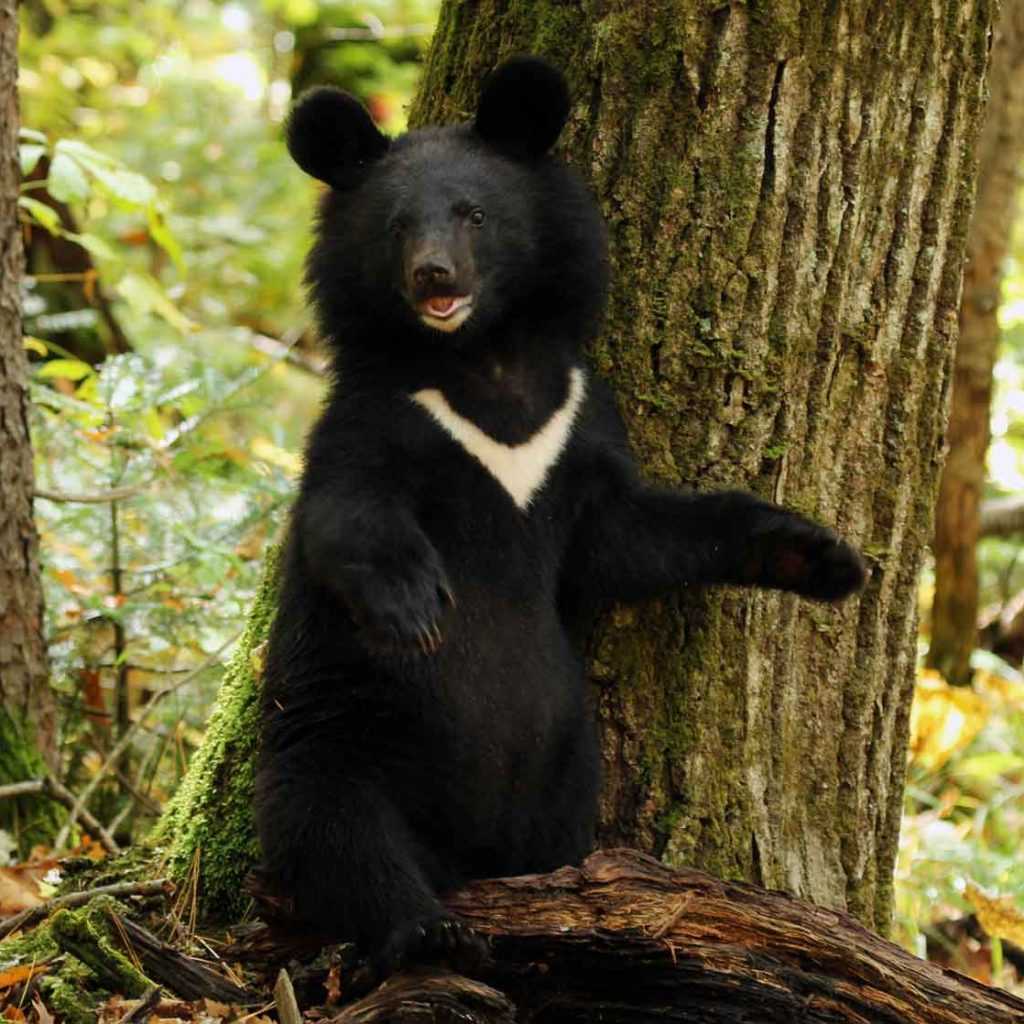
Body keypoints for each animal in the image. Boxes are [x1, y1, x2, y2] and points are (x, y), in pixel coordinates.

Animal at [253, 56, 864, 974]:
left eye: (474, 214)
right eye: (396, 226)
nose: (435, 276)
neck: (484, 362)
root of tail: (470, 848)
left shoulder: (578, 422)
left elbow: (629, 539)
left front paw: (823, 559)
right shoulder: (378, 413)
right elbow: (344, 513)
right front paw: (415, 611)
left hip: (567, 761)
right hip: (341, 730)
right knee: (334, 832)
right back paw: (430, 929)